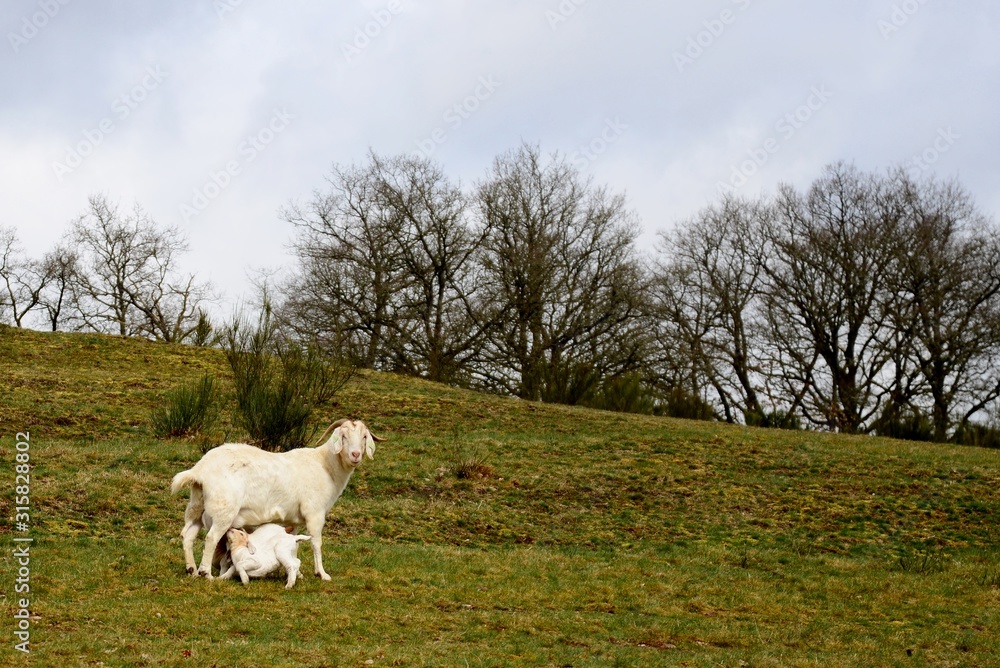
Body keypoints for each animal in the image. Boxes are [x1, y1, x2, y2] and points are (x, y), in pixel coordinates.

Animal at [171, 419, 385, 580]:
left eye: (364, 436)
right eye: (344, 436)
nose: (356, 455)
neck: (325, 466)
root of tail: (199, 470)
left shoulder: (294, 520)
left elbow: (295, 544)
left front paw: (297, 572)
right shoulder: (314, 513)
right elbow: (316, 543)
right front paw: (322, 574)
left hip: (197, 507)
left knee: (187, 535)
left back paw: (191, 570)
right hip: (223, 511)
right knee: (211, 538)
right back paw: (205, 573)